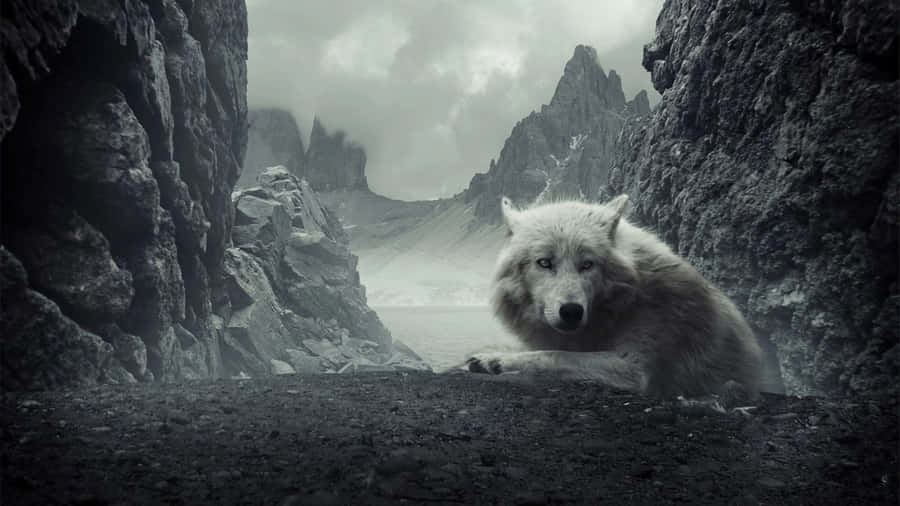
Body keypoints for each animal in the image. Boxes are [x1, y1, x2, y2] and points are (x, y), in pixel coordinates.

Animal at [466, 195, 762, 398]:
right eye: (544, 263)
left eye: (587, 264)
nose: (571, 311)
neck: (625, 303)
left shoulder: (633, 367)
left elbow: (555, 355)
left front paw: (496, 360)